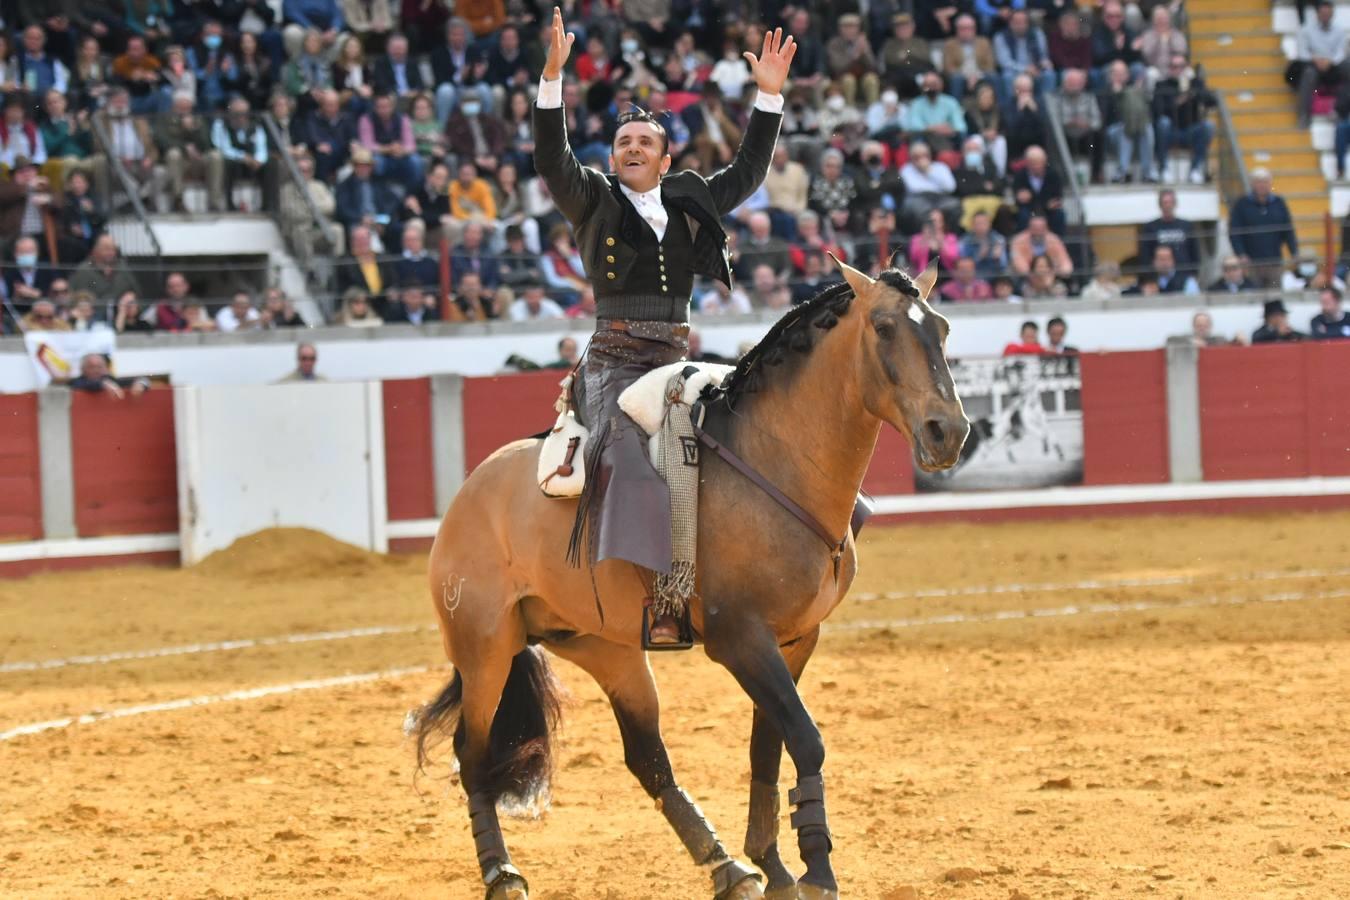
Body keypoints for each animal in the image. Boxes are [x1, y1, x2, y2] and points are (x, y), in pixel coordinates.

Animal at [413, 255, 972, 900]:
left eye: (944, 328)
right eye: (883, 327)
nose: (948, 431)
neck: (775, 459)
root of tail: (471, 490)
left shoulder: (795, 639)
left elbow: (768, 747)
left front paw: (774, 865)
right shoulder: (739, 639)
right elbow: (805, 738)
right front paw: (817, 868)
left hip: (607, 649)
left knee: (647, 757)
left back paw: (727, 867)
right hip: (485, 649)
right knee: (472, 752)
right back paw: (502, 873)